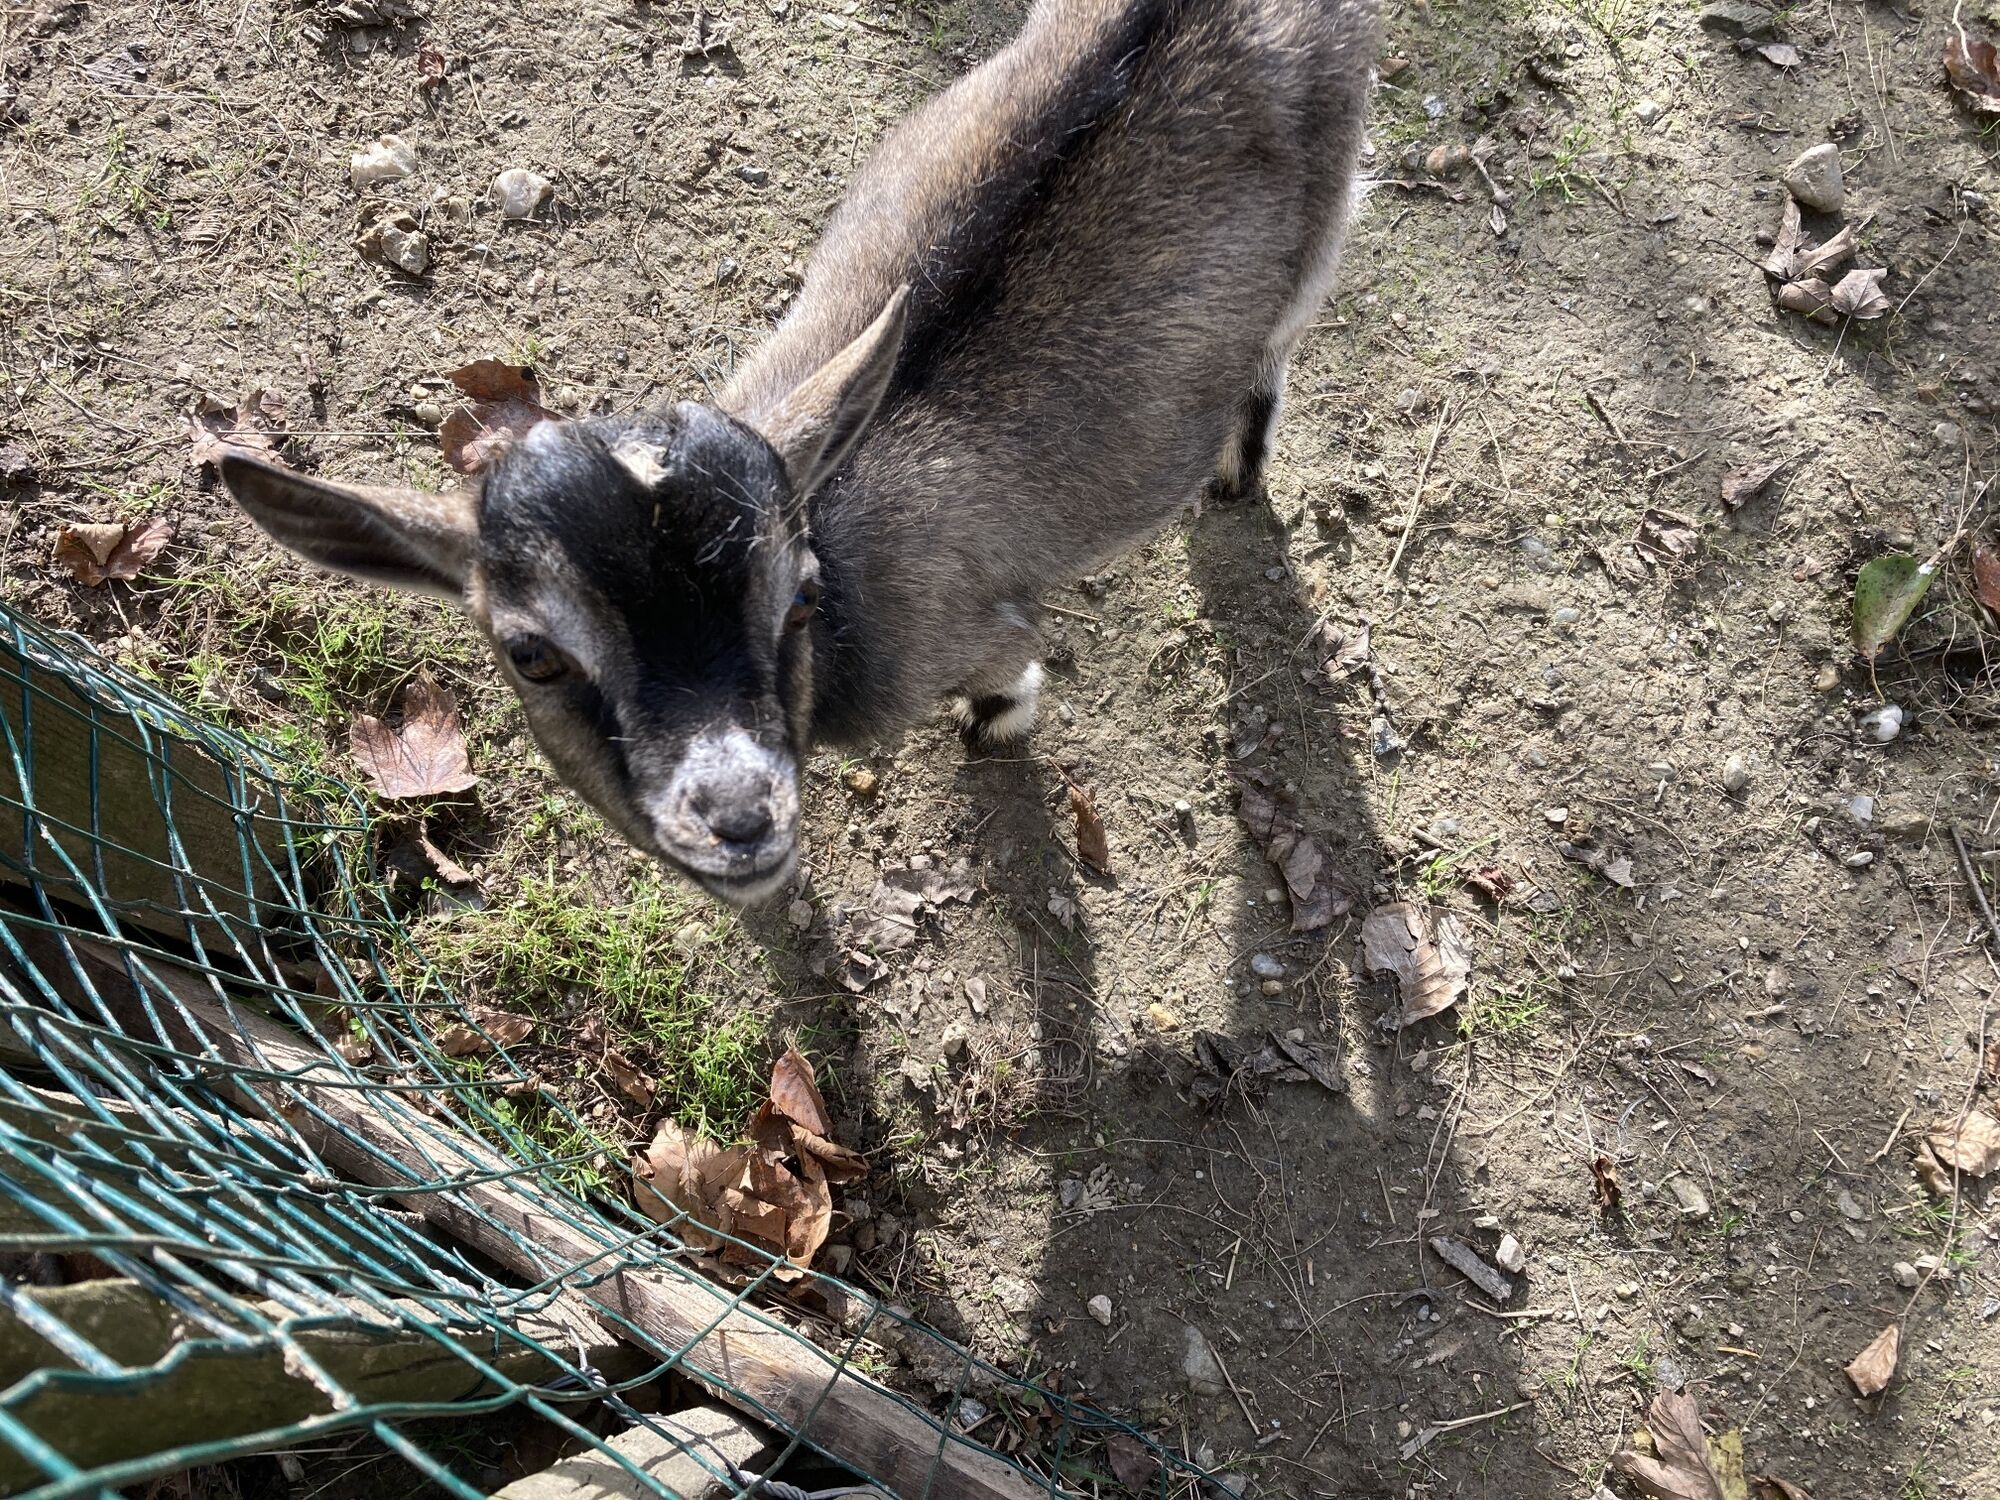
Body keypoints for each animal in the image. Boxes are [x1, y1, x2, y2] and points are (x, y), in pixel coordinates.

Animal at [221, 0, 1380, 904]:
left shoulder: (974, 626)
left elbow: (1007, 679)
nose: (739, 820)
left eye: (800, 600)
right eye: (531, 654)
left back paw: (1236, 467)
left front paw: (996, 723)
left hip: (1328, 201)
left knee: (1281, 332)